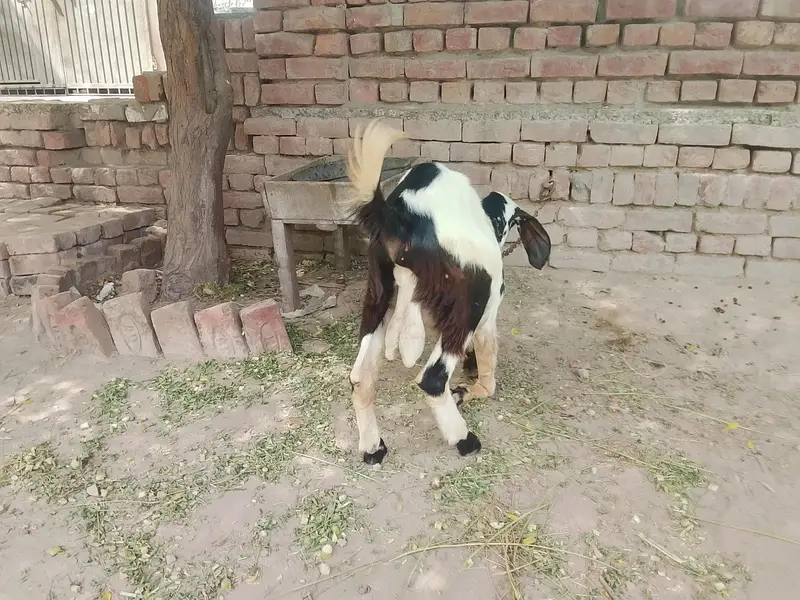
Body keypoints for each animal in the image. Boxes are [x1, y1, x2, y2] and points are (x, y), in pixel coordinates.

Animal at [344, 120, 551, 464]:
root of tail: (402, 217)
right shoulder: (487, 314)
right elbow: (488, 363)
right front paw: (470, 388)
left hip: (377, 293)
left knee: (361, 377)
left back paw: (374, 447)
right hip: (470, 304)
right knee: (431, 380)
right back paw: (464, 440)